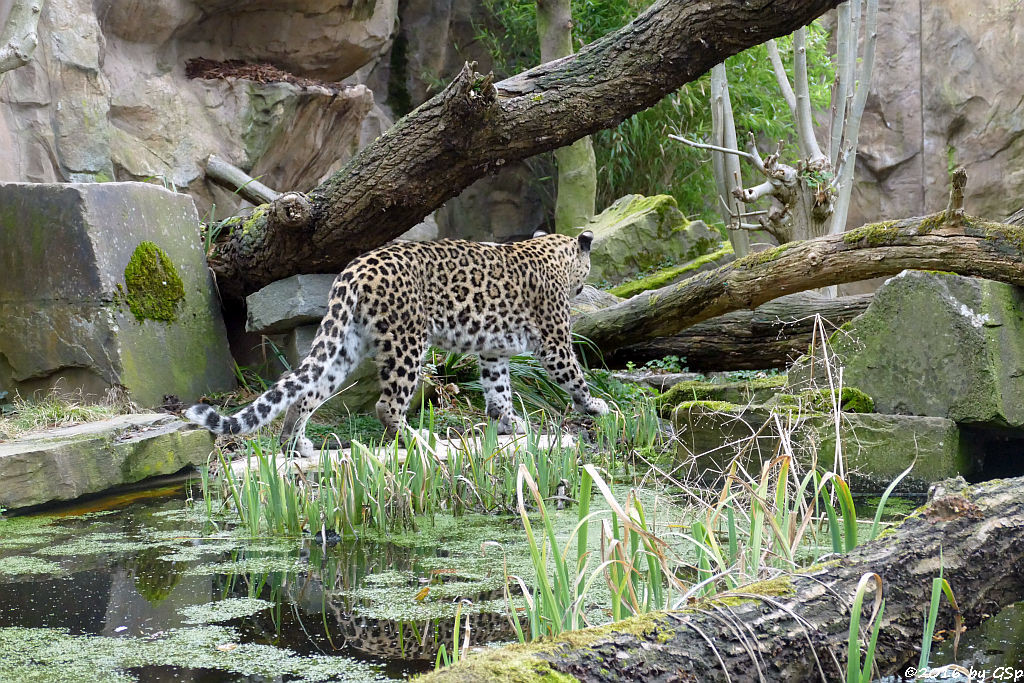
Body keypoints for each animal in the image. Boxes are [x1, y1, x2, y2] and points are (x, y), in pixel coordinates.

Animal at [185, 229, 606, 454]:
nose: (583, 286)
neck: (557, 255)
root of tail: (353, 269)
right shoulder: (554, 340)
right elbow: (573, 375)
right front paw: (596, 405)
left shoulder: (492, 351)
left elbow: (498, 387)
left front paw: (509, 421)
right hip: (408, 341)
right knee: (386, 404)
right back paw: (416, 438)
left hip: (346, 345)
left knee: (306, 391)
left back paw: (296, 445)